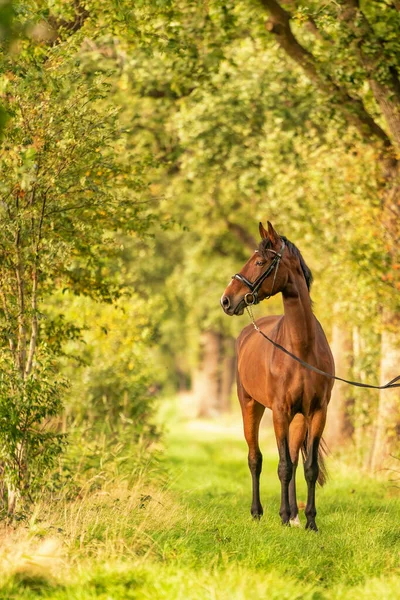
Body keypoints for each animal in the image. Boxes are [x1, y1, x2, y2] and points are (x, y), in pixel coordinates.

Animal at [220, 220, 332, 528]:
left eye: (259, 262)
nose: (226, 300)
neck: (301, 348)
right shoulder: (280, 411)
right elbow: (281, 467)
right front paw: (282, 517)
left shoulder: (317, 412)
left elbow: (307, 468)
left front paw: (310, 522)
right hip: (251, 406)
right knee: (255, 458)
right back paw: (258, 512)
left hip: (298, 419)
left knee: (293, 458)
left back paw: (294, 514)